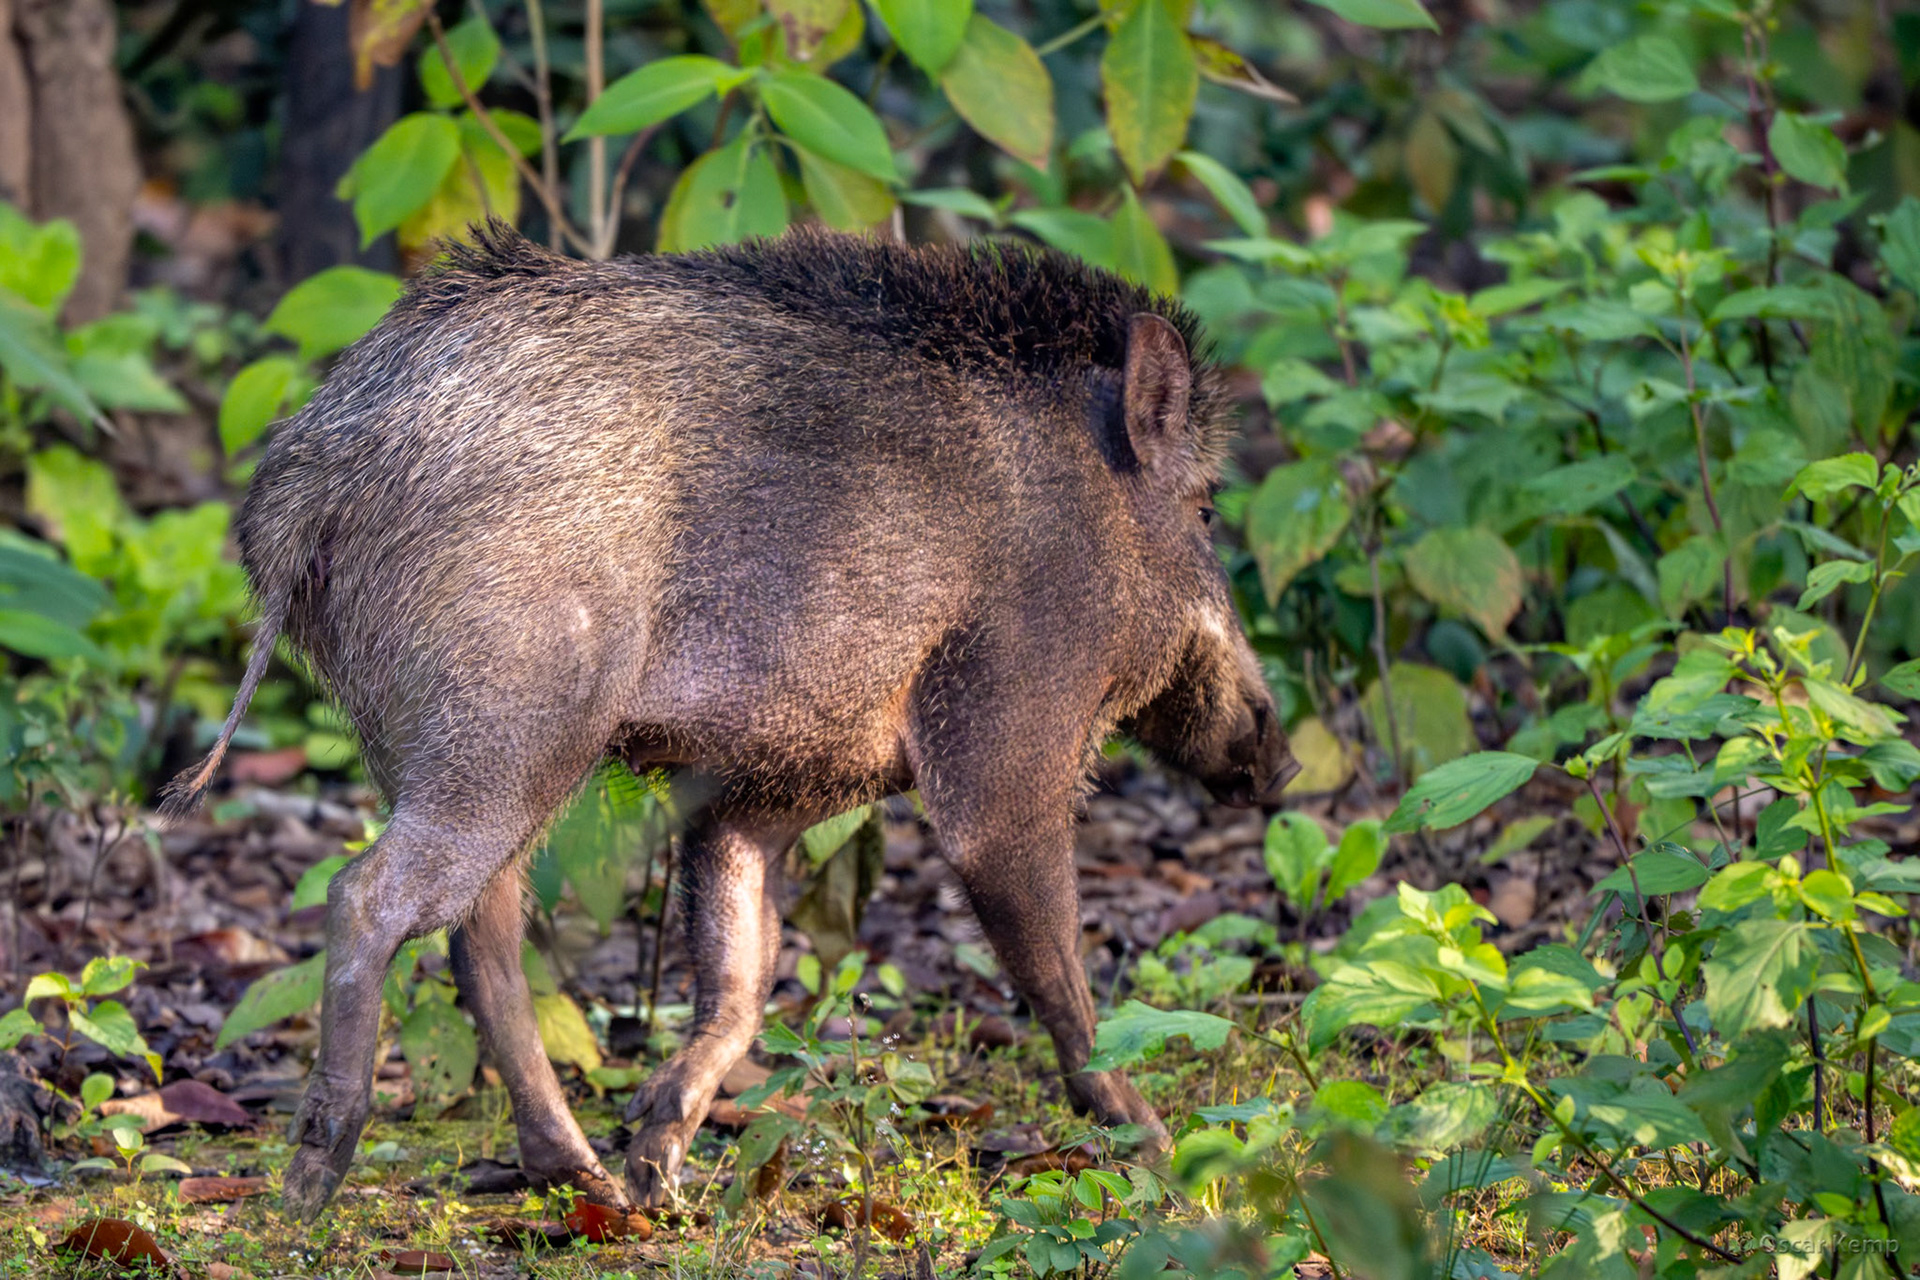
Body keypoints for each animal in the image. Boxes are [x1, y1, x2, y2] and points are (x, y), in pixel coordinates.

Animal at [167, 223, 1297, 1220]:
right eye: (1206, 509)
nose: (1280, 760)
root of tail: (306, 479)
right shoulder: (1005, 735)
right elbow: (1060, 976)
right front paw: (1166, 1157)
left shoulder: (765, 792)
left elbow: (743, 976)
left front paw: (659, 1161)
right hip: (511, 722)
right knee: (374, 895)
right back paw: (311, 1186)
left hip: (461, 741)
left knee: (480, 932)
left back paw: (587, 1179)